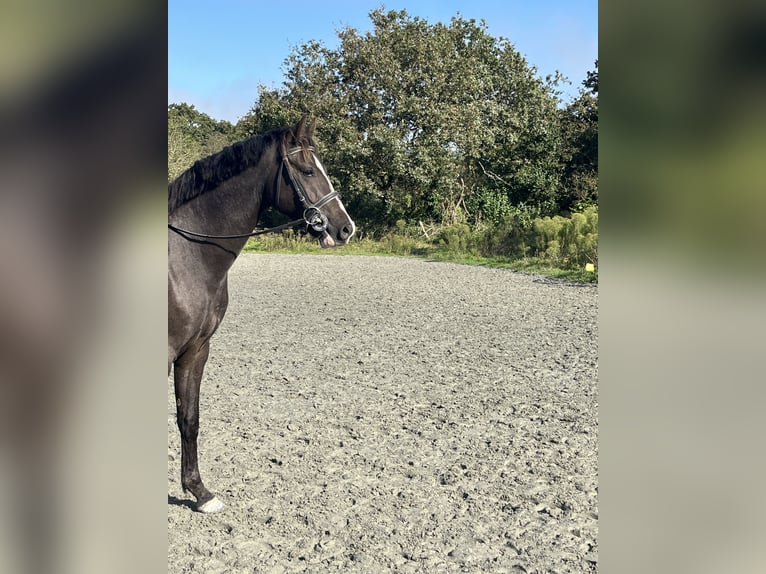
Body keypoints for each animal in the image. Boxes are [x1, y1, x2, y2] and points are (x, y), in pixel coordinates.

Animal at [168, 116, 356, 512]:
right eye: (307, 170)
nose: (346, 228)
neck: (186, 258)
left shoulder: (195, 350)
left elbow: (188, 419)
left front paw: (200, 493)